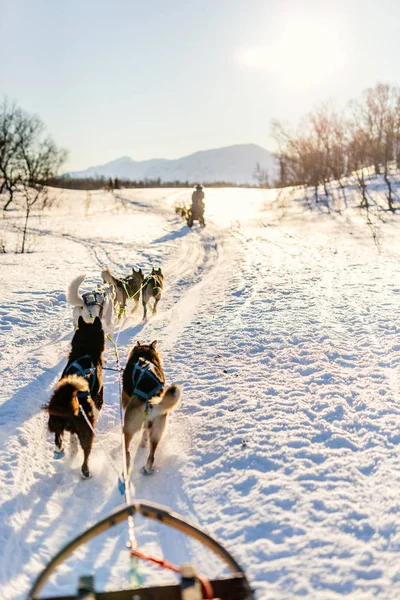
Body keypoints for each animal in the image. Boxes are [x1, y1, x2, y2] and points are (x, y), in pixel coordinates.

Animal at [44, 318, 105, 478]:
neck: (85, 351)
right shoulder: (99, 400)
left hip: (55, 421)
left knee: (58, 438)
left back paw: (60, 451)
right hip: (87, 431)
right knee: (86, 455)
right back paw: (86, 472)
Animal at [121, 342, 182, 474]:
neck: (145, 354)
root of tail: (151, 400)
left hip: (129, 427)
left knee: (127, 450)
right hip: (157, 431)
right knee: (152, 455)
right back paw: (147, 468)